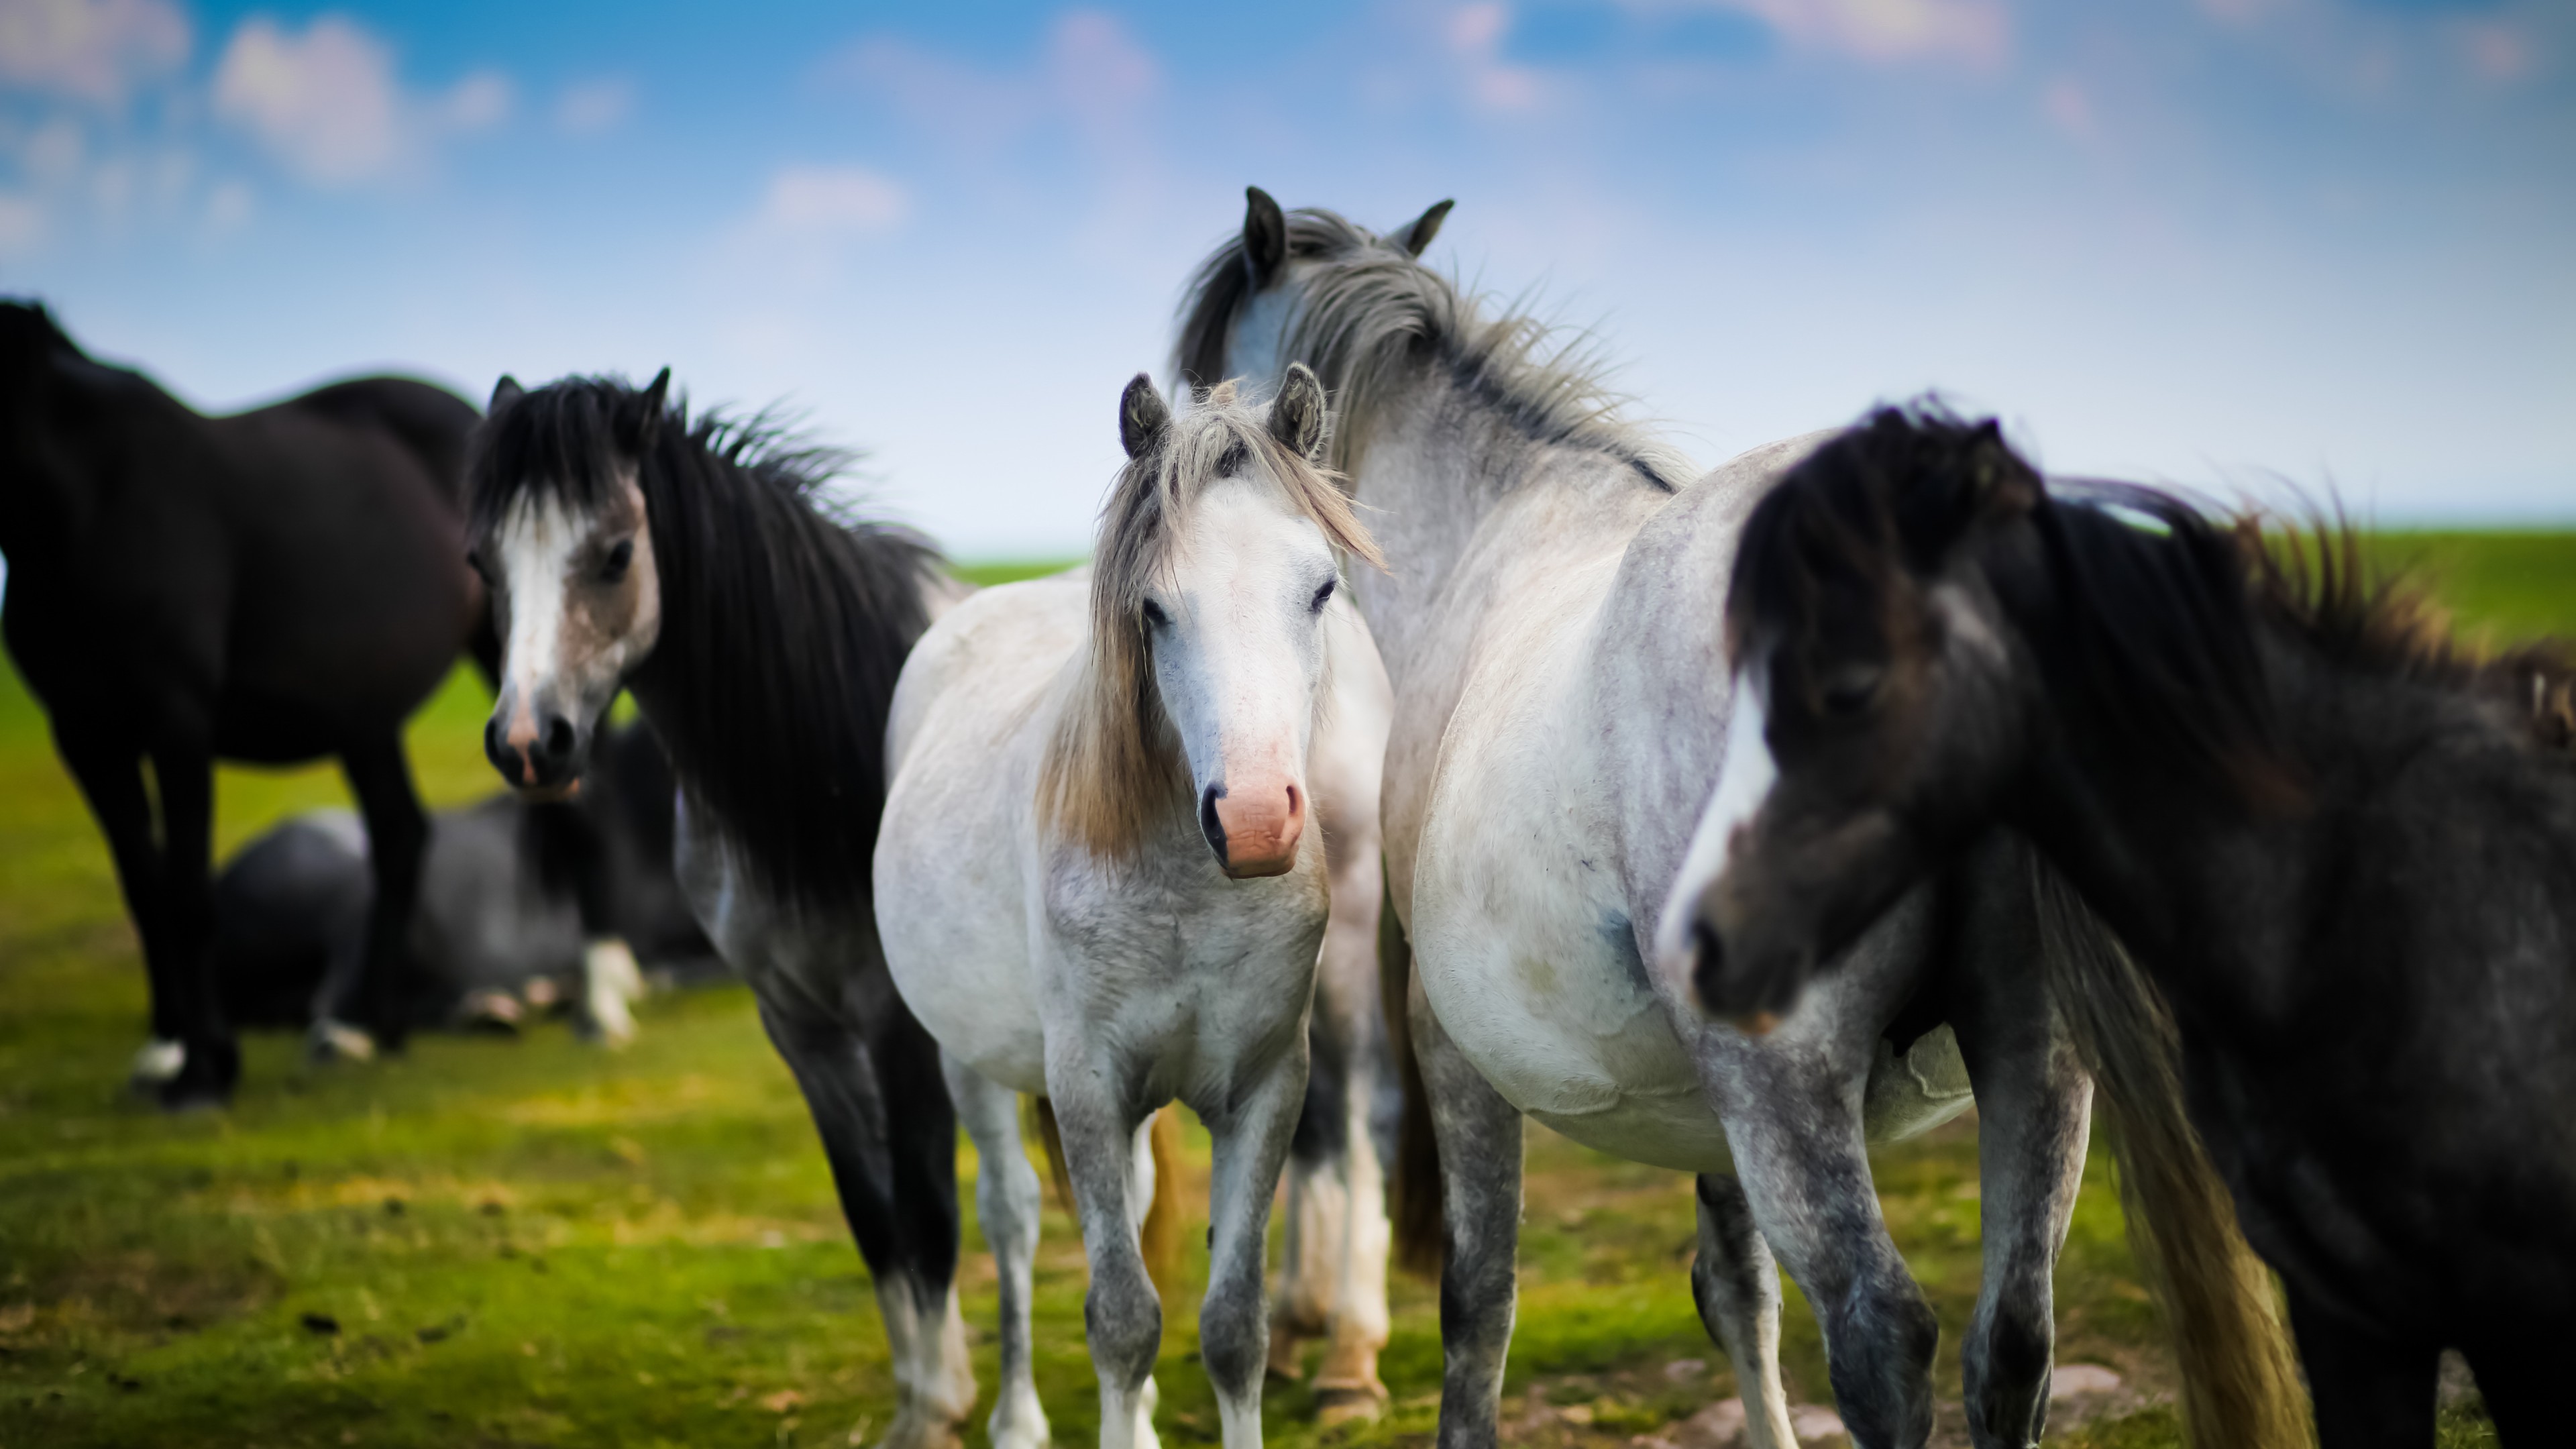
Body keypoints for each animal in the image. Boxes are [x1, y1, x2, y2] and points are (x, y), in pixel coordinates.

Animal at [0, 299, 484, 1108]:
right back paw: (367, 1027)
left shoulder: (177, 721)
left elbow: (189, 894)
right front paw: (165, 1049)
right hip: (363, 718)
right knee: (399, 835)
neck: (90, 502)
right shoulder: (86, 733)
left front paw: (204, 1069)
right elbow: (145, 891)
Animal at [466, 371, 974, 1449]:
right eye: (481, 562)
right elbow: (875, 1218)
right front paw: (927, 1398)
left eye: (617, 552)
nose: (529, 744)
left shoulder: (900, 1029)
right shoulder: (800, 1029)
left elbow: (928, 1213)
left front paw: (938, 1412)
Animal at [873, 367, 1386, 1449]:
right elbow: (1121, 1318)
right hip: (970, 1062)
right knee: (1013, 1217)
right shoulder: (1086, 1089)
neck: (1189, 890)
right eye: (1154, 609)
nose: (1255, 821)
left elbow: (1233, 1325)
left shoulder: (1265, 1088)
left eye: (1321, 589)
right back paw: (1018, 1419)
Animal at [1176, 191, 2299, 1448]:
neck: (1492, 540)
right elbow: (1736, 1291)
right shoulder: (1702, 1105)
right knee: (2011, 1344)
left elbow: (1477, 1305)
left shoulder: (1454, 1049)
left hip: (1788, 1083)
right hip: (2032, 1057)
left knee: (1880, 1336)